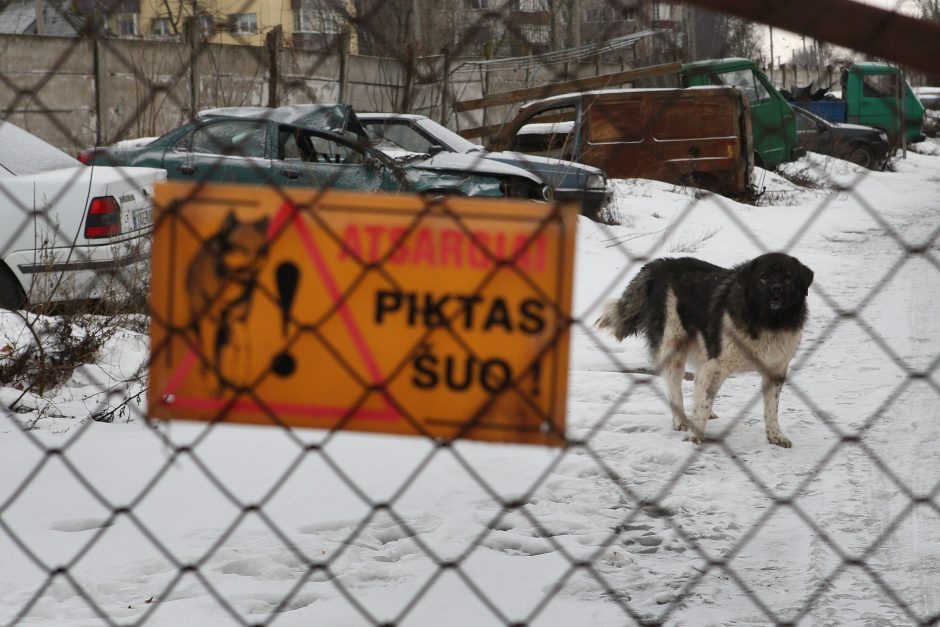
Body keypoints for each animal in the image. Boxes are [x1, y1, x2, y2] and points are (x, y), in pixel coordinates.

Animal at [600, 253, 812, 448]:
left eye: (788, 277)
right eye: (764, 276)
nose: (776, 290)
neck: (768, 323)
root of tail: (661, 263)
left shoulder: (775, 370)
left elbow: (772, 408)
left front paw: (775, 435)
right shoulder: (717, 364)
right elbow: (703, 400)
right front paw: (694, 436)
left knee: (698, 384)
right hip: (674, 346)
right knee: (675, 389)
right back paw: (681, 421)